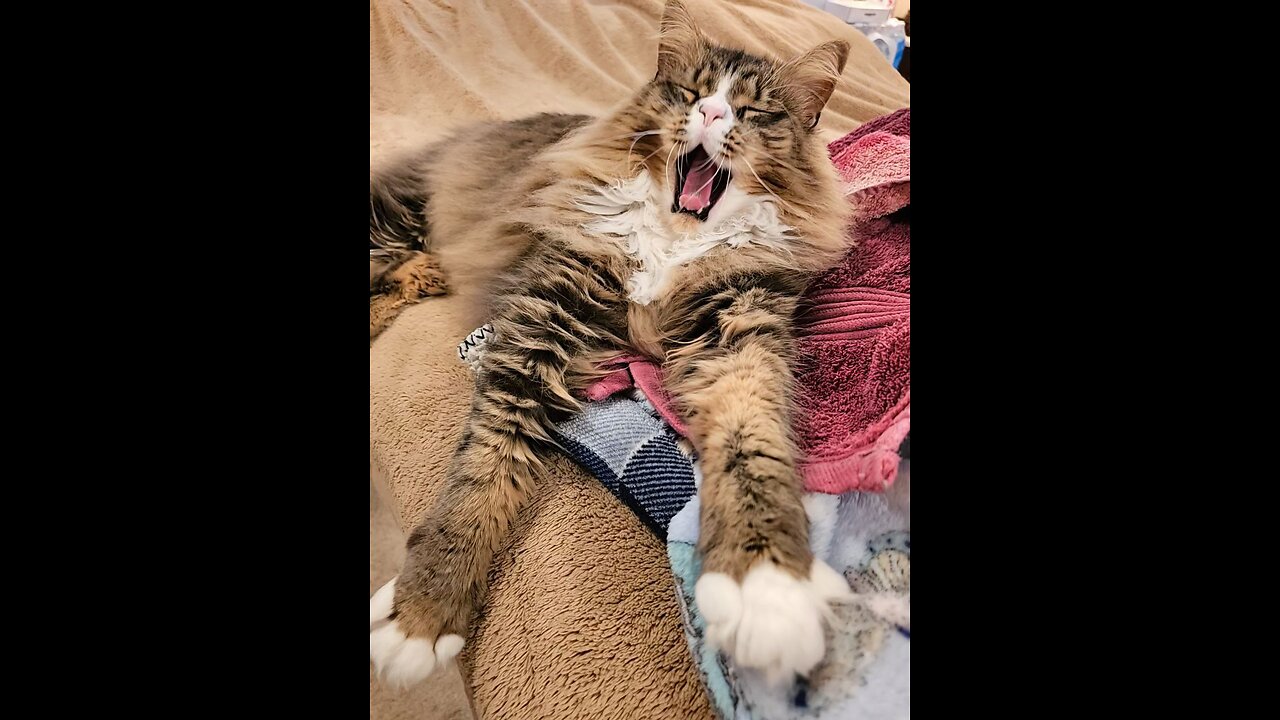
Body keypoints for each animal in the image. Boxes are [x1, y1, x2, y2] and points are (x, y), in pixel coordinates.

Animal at [366, 0, 855, 681]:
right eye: (691, 93)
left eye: (753, 111)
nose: (711, 114)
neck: (676, 238)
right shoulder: (541, 320)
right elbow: (484, 467)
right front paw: (422, 612)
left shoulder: (739, 342)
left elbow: (752, 452)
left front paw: (767, 593)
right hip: (396, 218)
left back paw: (423, 278)